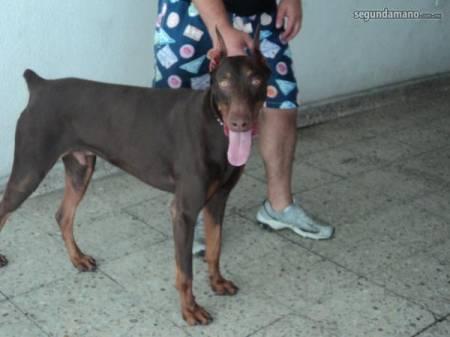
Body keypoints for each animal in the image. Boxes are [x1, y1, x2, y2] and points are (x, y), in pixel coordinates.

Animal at [0, 28, 268, 322]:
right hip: (29, 170)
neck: (215, 126)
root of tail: (40, 85)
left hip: (81, 168)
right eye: (224, 82)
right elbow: (185, 271)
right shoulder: (184, 211)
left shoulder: (218, 200)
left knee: (63, 215)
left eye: (256, 79)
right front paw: (190, 309)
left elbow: (215, 248)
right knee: (5, 209)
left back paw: (78, 258)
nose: (240, 123)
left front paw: (217, 283)